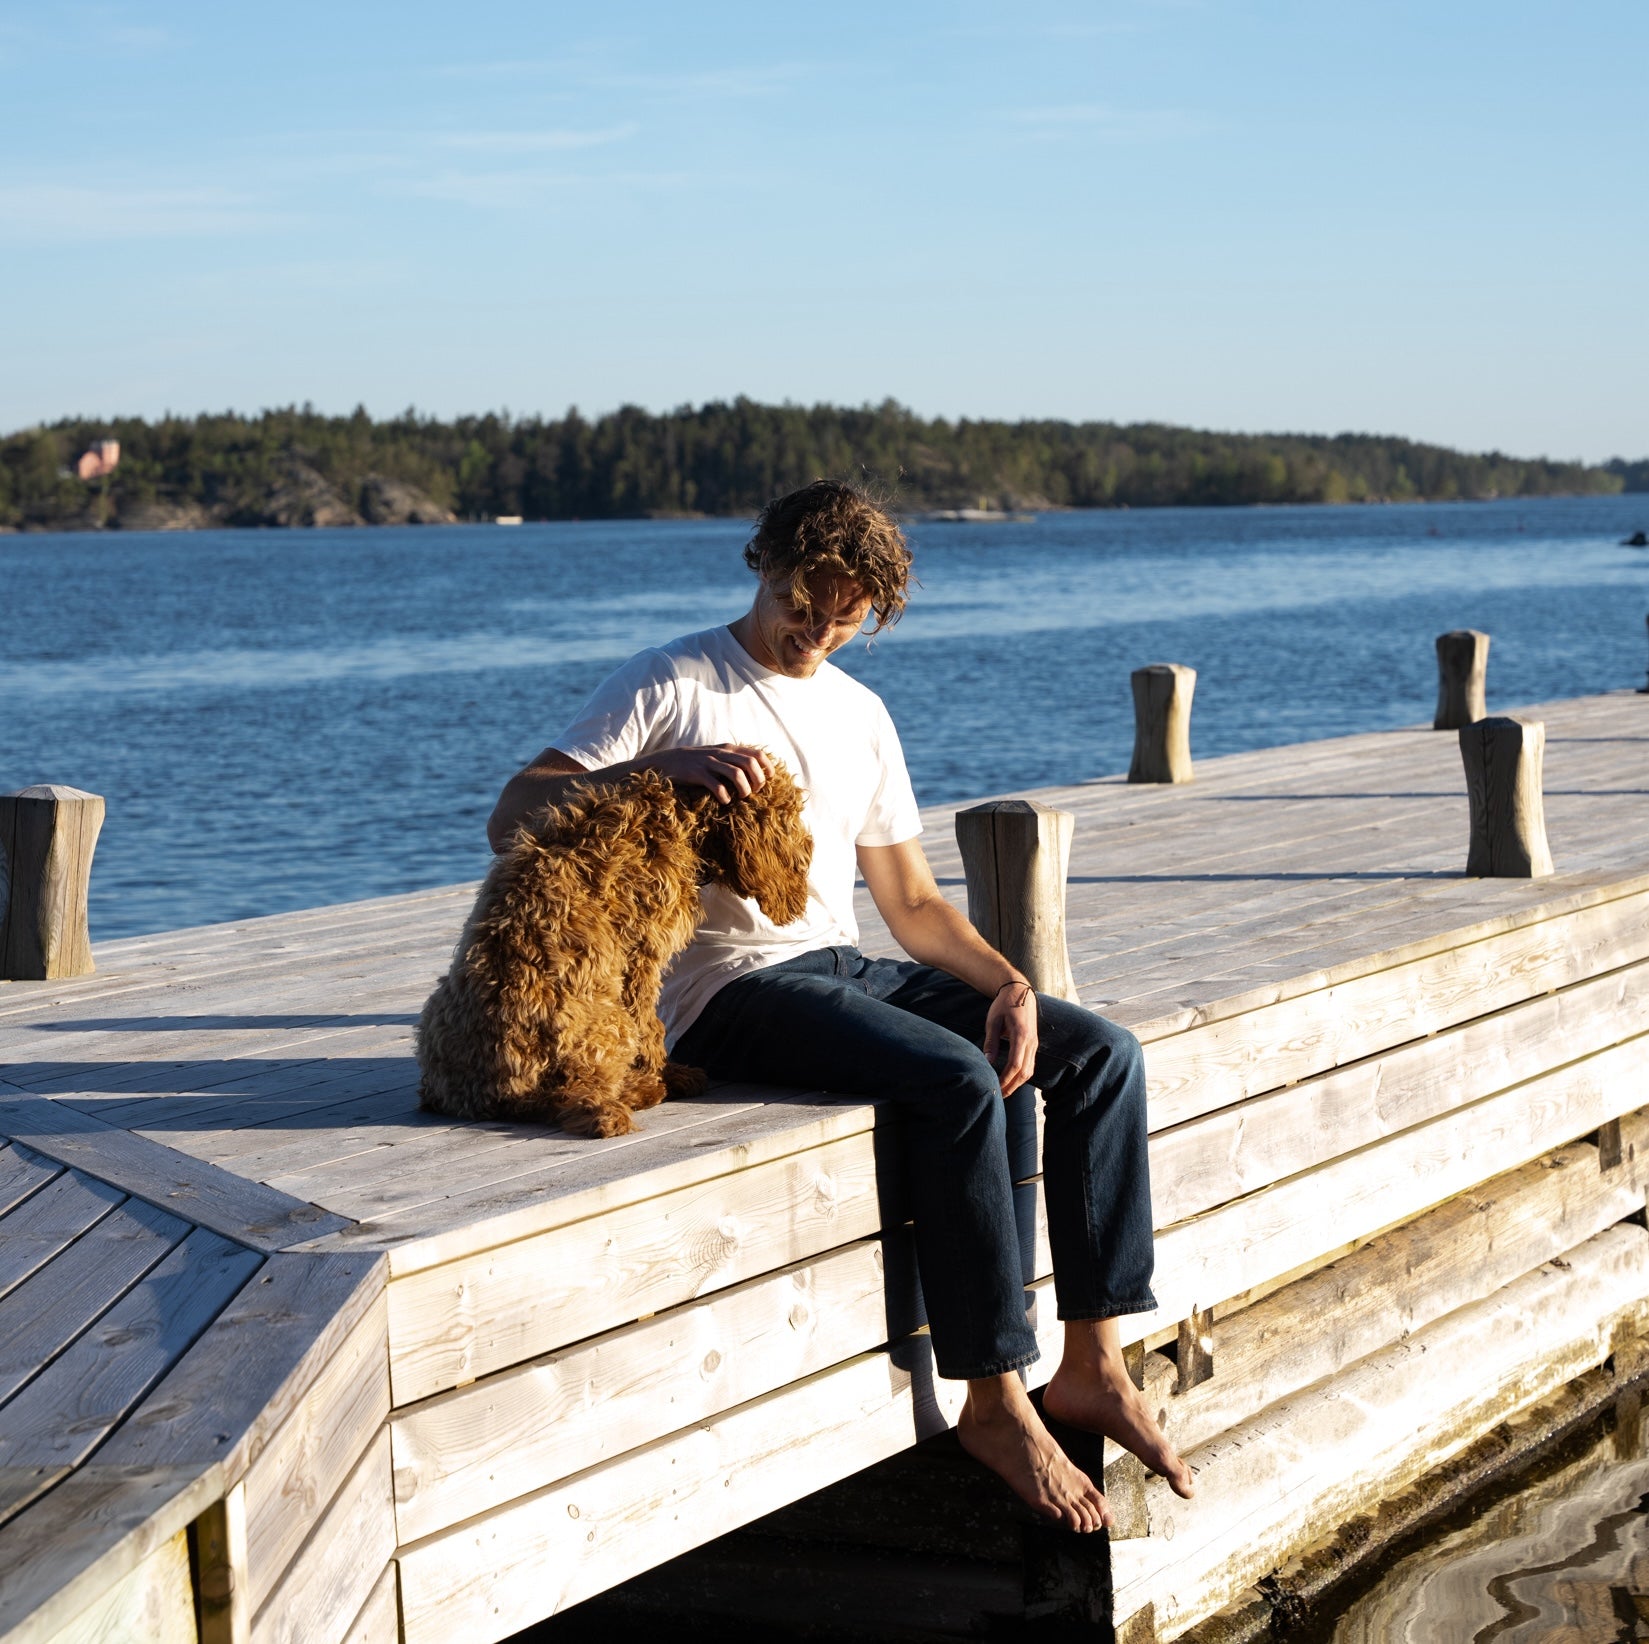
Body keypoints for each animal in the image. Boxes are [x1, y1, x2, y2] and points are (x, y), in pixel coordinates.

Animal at [415, 761, 808, 1134]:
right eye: (789, 813)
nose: (808, 850)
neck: (674, 818)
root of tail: (495, 1095)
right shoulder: (641, 956)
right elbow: (650, 1025)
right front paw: (666, 1072)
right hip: (609, 1022)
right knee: (582, 1091)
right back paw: (643, 1089)